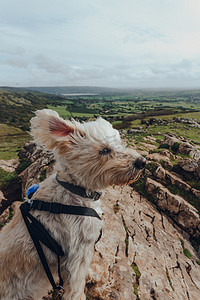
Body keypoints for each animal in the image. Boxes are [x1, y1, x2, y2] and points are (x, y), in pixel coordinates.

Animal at [0, 109, 145, 300]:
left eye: (120, 142)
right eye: (105, 150)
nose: (142, 162)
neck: (74, 190)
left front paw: (93, 275)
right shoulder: (76, 257)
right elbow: (76, 289)